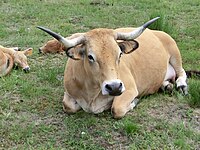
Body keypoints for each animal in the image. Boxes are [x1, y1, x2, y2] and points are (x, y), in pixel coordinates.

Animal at [37, 17, 188, 118]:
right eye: (90, 56)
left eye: (120, 54)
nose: (114, 87)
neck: (92, 93)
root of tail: (156, 31)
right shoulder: (69, 92)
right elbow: (68, 106)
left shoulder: (129, 89)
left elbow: (117, 109)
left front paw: (134, 102)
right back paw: (166, 85)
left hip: (175, 52)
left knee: (181, 72)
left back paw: (181, 85)